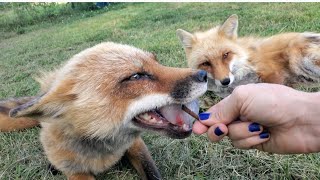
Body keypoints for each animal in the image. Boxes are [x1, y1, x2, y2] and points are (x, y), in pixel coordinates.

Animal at [0, 42, 208, 180]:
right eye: (136, 76)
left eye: (157, 62)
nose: (204, 74)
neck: (104, 150)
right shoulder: (76, 172)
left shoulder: (135, 145)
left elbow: (152, 174)